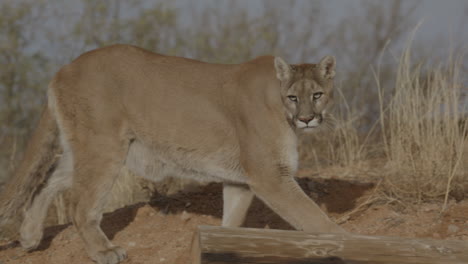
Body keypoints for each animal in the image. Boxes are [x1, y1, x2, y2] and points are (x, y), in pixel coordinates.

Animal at [0, 45, 344, 264]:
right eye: (293, 97)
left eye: (317, 95)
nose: (307, 119)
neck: (279, 104)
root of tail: (65, 67)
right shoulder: (269, 176)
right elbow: (315, 219)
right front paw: (343, 243)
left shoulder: (241, 181)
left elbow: (231, 221)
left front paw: (220, 248)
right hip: (104, 147)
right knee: (79, 203)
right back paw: (104, 252)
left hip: (84, 147)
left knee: (47, 180)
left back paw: (30, 235)